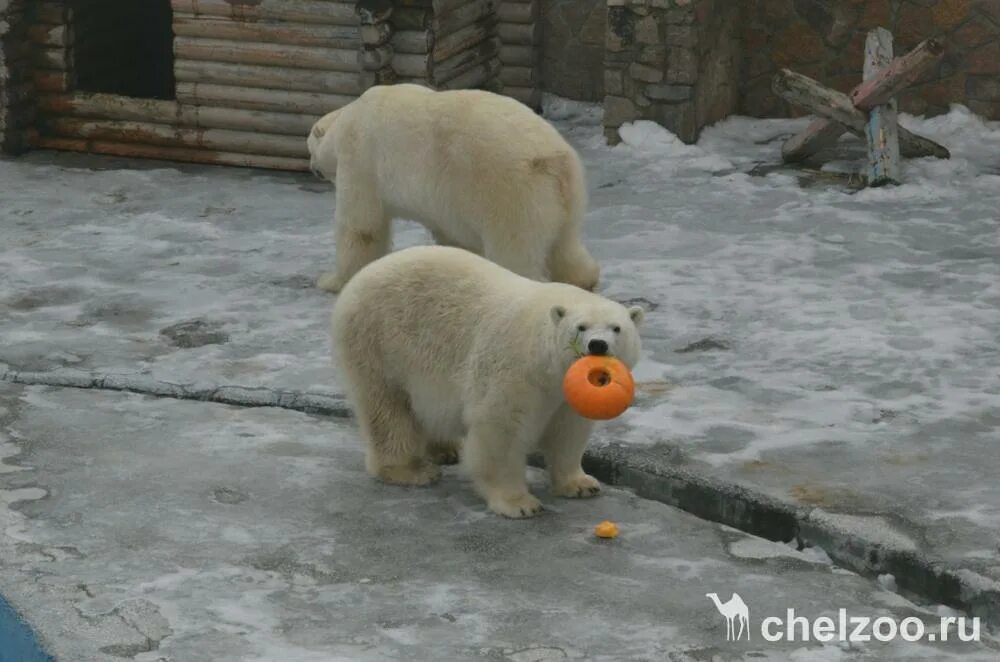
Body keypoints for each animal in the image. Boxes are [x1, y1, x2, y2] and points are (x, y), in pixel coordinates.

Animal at [308, 82, 596, 294]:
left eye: (309, 148)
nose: (311, 167)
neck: (348, 117)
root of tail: (553, 159)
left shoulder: (360, 156)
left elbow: (361, 225)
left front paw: (331, 280)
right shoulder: (446, 200)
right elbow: (451, 233)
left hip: (511, 192)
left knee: (515, 250)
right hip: (566, 196)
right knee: (565, 243)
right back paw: (584, 280)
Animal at [328, 244, 640, 520]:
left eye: (617, 328)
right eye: (581, 327)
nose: (598, 345)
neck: (545, 362)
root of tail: (358, 279)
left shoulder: (564, 395)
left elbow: (568, 431)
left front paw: (581, 484)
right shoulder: (514, 369)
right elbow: (501, 428)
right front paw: (519, 504)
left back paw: (445, 449)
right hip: (378, 343)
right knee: (388, 410)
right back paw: (410, 470)